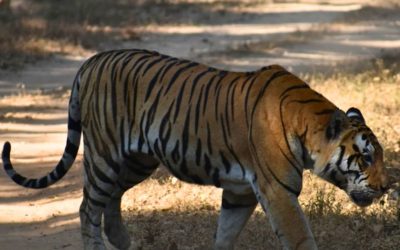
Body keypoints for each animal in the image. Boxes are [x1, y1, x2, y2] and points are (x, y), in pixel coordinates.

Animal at [2, 48, 390, 248]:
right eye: (365, 157)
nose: (388, 187)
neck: (308, 125)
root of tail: (90, 61)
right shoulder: (277, 191)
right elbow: (299, 237)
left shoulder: (240, 192)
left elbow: (225, 233)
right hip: (105, 155)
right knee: (87, 208)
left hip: (135, 161)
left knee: (110, 202)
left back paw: (125, 242)